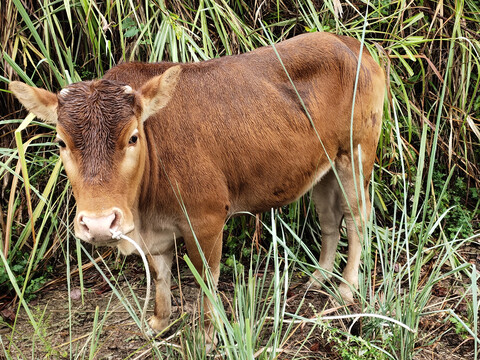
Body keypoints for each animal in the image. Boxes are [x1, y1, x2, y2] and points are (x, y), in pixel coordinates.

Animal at [9, 32, 384, 336]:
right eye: (61, 142)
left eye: (132, 137)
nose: (100, 224)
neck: (144, 210)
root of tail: (352, 45)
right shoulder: (155, 232)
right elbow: (161, 273)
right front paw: (159, 322)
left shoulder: (207, 219)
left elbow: (206, 280)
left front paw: (207, 334)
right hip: (324, 165)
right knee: (329, 218)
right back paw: (318, 278)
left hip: (357, 152)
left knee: (357, 217)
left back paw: (347, 289)